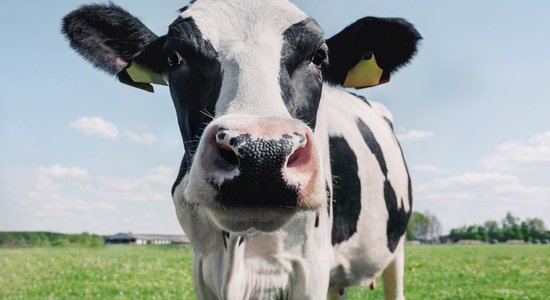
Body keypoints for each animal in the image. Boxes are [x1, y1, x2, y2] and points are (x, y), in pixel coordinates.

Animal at [62, 1, 420, 298]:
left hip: (397, 248)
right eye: (174, 57)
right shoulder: (203, 265)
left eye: (319, 56)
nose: (262, 155)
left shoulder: (310, 266)